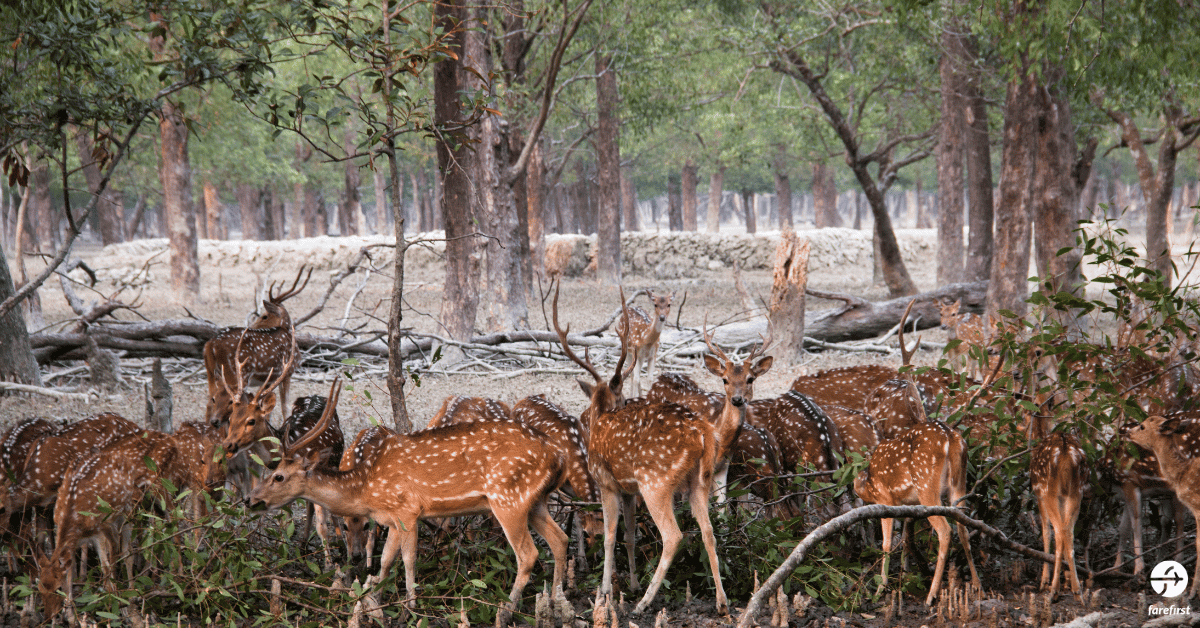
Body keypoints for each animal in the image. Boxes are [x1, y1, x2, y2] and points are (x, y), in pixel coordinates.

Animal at [204, 265, 312, 427]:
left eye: (264, 316)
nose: (250, 326)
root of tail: (210, 344)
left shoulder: (271, 379)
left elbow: (269, 410)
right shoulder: (287, 373)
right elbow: (285, 407)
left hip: (211, 373)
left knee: (210, 402)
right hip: (236, 374)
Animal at [246, 379, 568, 624]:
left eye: (278, 476)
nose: (250, 499)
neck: (365, 489)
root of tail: (558, 457)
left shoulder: (407, 510)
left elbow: (408, 558)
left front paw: (410, 606)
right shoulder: (390, 518)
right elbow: (386, 559)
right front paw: (374, 598)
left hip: (507, 498)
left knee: (528, 554)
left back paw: (507, 611)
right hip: (535, 501)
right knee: (560, 540)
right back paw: (556, 602)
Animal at [1128, 415, 1200, 597]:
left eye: (1142, 426)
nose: (1127, 432)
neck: (1182, 473)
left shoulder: (1197, 506)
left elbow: (1198, 544)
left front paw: (1192, 593)